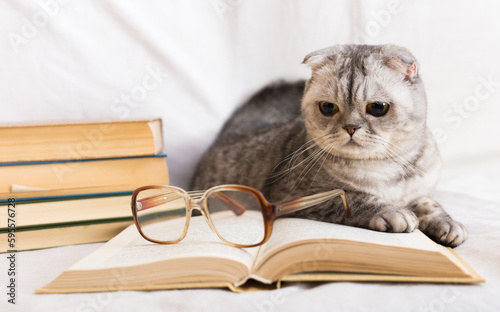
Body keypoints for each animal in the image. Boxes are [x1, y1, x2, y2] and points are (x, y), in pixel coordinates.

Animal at [191, 44, 468, 249]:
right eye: (328, 107)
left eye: (377, 108)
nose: (350, 127)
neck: (387, 170)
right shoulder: (294, 196)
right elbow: (355, 198)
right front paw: (394, 212)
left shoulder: (422, 191)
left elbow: (430, 205)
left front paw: (448, 225)